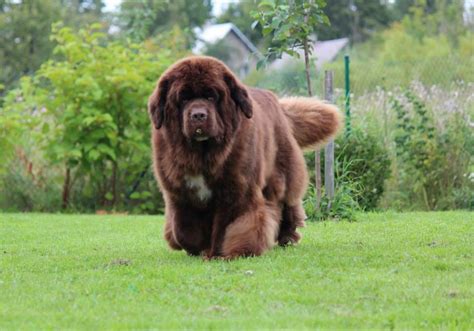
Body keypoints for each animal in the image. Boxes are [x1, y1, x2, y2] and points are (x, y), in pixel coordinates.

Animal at [148, 55, 340, 260]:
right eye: (183, 99)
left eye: (211, 97)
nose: (198, 115)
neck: (202, 153)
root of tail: (277, 102)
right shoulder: (180, 193)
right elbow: (184, 231)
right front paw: (200, 249)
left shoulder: (235, 189)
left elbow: (227, 226)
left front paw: (220, 253)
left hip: (282, 174)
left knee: (286, 203)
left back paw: (286, 236)